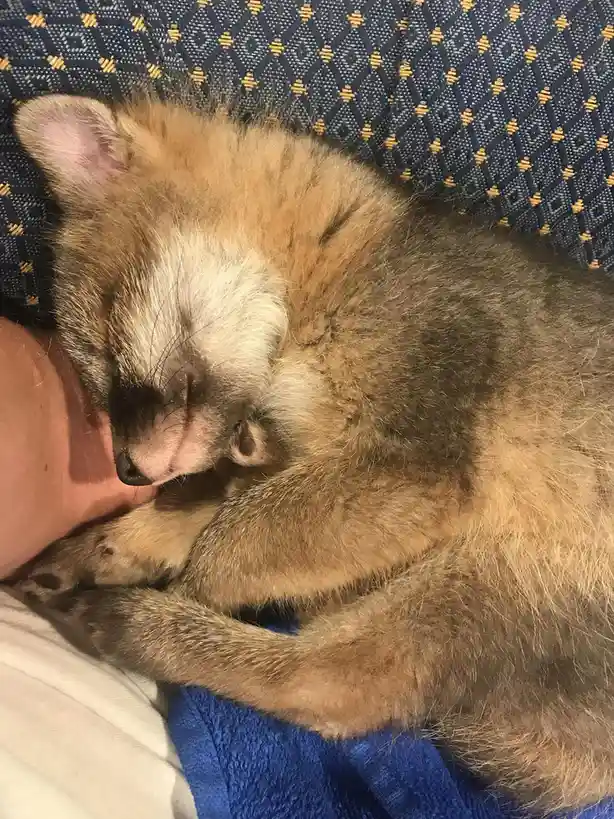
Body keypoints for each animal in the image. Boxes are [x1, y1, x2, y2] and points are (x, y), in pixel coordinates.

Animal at [9, 92, 614, 812]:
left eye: (102, 336)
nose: (124, 469)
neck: (336, 273)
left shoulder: (409, 467)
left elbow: (228, 542)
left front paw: (187, 584)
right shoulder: (302, 463)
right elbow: (220, 508)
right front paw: (129, 538)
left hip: (484, 574)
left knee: (328, 684)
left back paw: (141, 624)